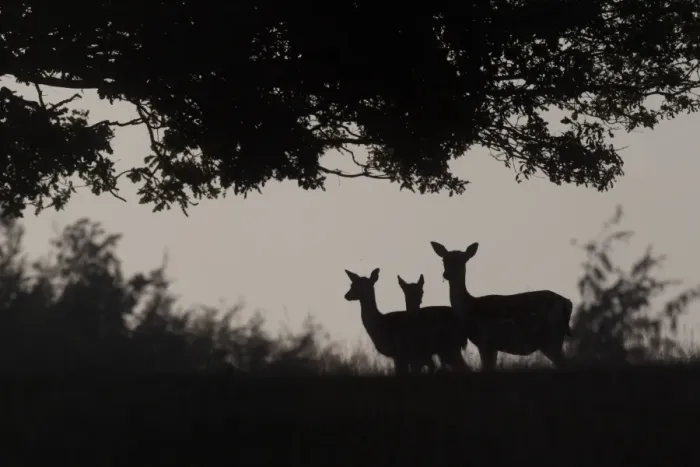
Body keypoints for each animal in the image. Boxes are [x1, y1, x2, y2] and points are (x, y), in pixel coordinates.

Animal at [430, 241, 573, 371]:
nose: (446, 274)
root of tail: (567, 303)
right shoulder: (492, 346)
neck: (469, 310)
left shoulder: (485, 341)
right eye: (443, 260)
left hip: (550, 337)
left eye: (463, 260)